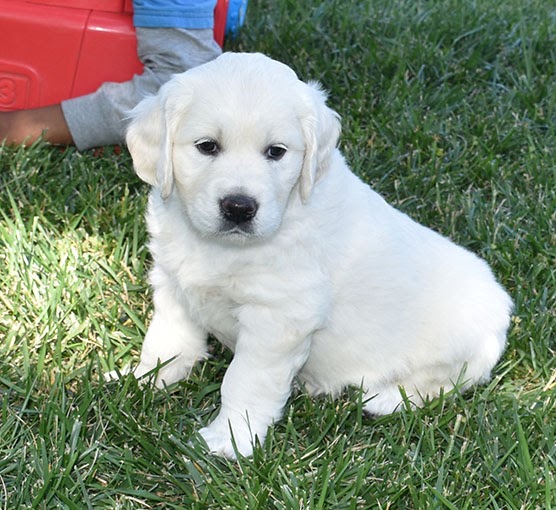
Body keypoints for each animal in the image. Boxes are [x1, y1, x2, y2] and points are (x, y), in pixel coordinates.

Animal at [126, 50, 512, 458]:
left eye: (276, 152)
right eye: (207, 146)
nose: (239, 207)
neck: (221, 246)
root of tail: (503, 308)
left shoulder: (278, 317)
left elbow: (246, 379)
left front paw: (230, 438)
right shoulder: (172, 283)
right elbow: (168, 342)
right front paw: (142, 381)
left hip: (460, 346)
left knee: (442, 383)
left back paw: (383, 399)